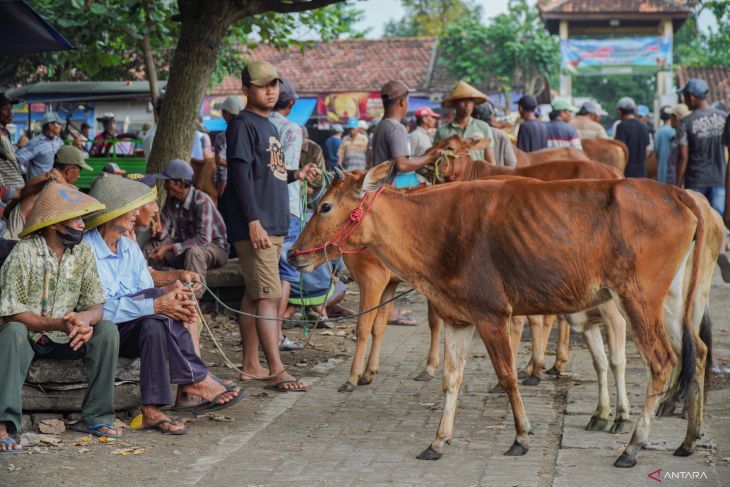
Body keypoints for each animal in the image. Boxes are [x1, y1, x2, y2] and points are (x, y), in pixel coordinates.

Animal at [290, 165, 704, 468]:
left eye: (325, 206)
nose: (294, 254)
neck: (436, 227)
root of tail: (677, 193)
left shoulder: (491, 315)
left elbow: (507, 376)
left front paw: (520, 436)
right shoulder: (457, 318)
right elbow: (451, 380)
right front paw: (438, 441)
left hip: (638, 299)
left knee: (662, 360)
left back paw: (633, 446)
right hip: (672, 301)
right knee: (696, 352)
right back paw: (687, 440)